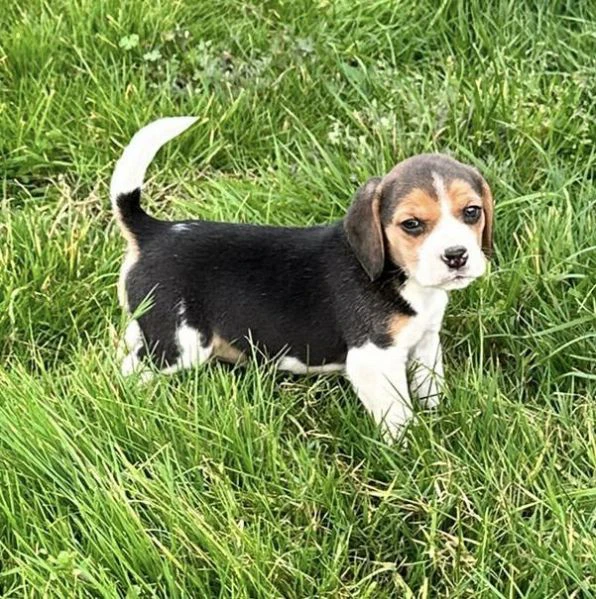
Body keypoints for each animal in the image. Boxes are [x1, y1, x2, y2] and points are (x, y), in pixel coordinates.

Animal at [113, 117, 494, 438]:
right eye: (411, 224)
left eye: (471, 212)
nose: (456, 255)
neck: (401, 279)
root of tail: (153, 231)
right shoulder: (374, 359)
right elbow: (398, 414)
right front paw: (413, 448)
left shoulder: (425, 343)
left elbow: (430, 388)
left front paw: (439, 417)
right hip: (179, 343)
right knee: (130, 369)